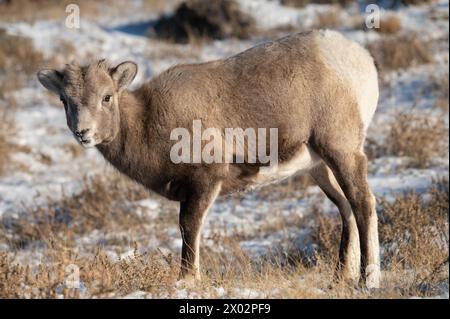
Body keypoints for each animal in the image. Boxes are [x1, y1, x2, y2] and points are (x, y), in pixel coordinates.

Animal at [37, 30, 380, 288]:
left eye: (107, 97)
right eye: (65, 99)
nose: (83, 133)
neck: (148, 121)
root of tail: (361, 60)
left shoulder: (203, 182)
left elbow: (189, 227)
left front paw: (188, 280)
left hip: (340, 150)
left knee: (362, 202)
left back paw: (368, 280)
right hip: (320, 167)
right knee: (346, 207)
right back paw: (340, 278)